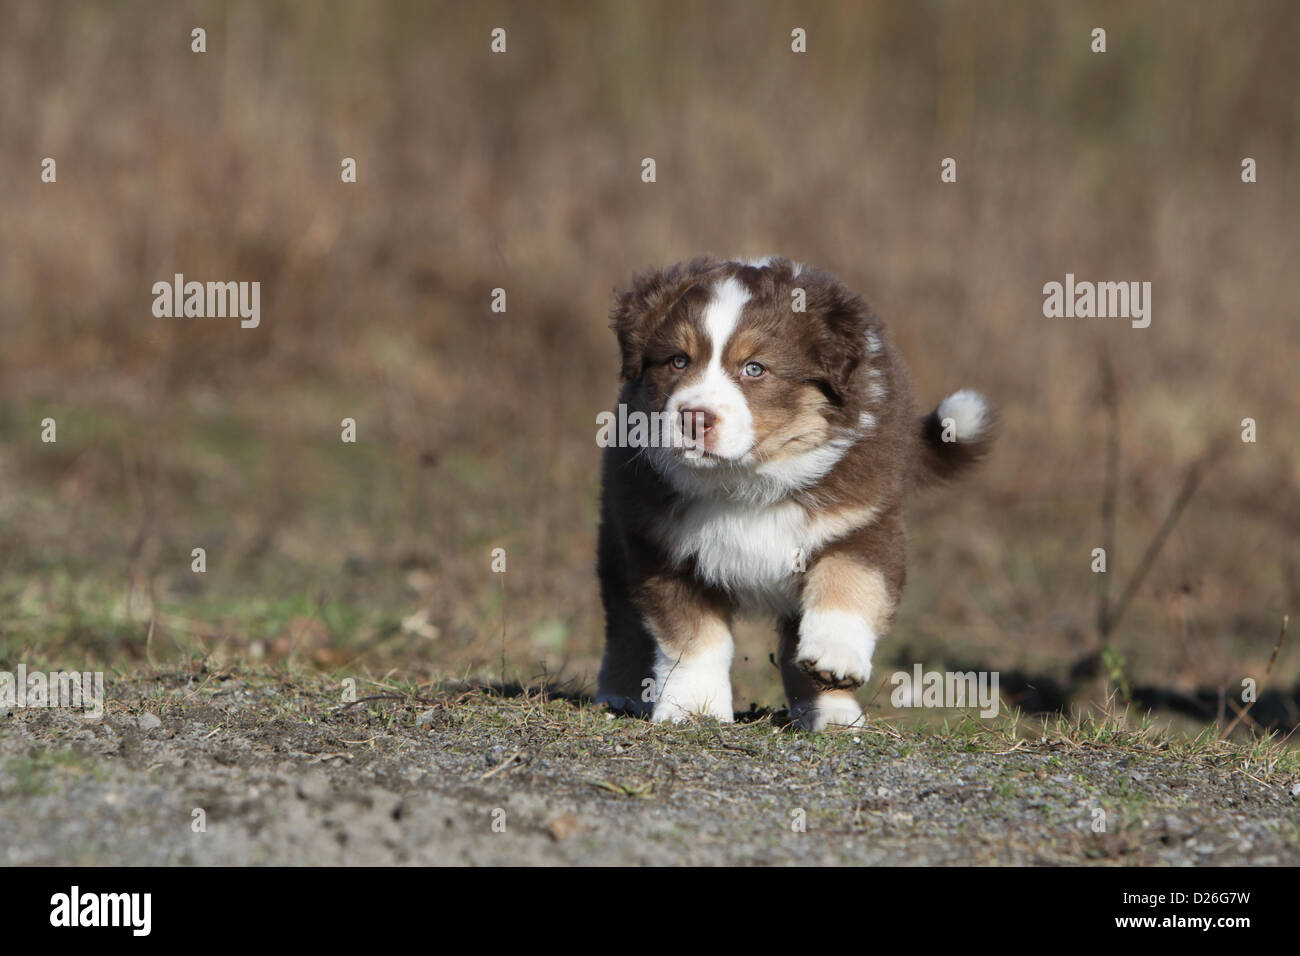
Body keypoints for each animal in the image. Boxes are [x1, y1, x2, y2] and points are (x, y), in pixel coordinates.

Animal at [598, 256, 993, 733]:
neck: (747, 481)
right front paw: (694, 708)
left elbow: (849, 583)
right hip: (616, 541)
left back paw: (834, 712)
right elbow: (693, 636)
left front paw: (835, 661)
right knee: (623, 621)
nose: (695, 418)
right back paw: (619, 692)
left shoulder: (863, 519)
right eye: (677, 360)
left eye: (754, 369)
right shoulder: (661, 541)